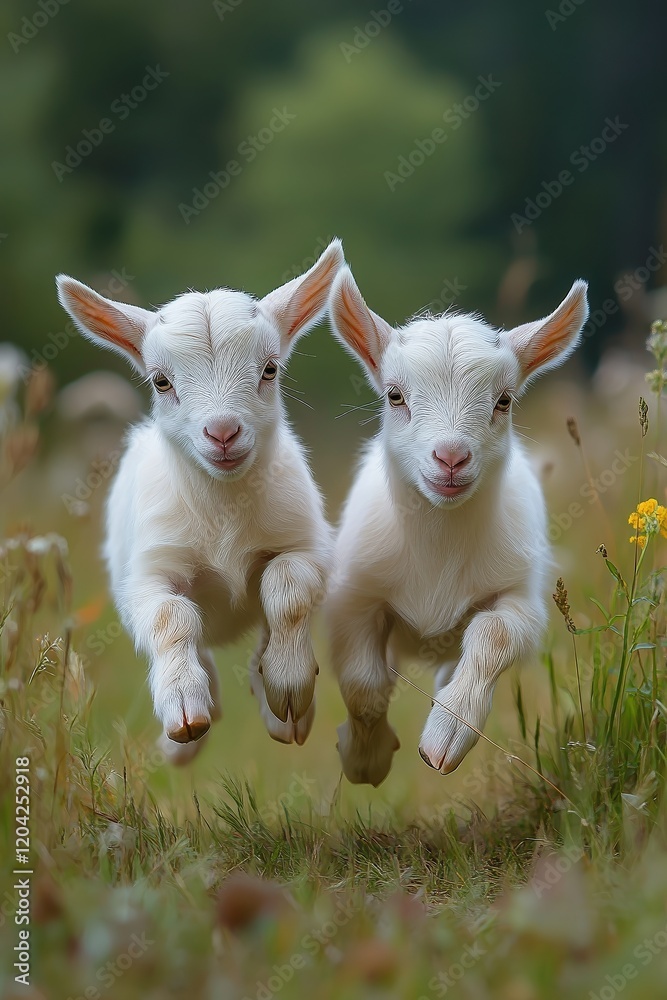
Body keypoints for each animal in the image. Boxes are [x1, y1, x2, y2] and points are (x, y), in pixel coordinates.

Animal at [56, 241, 343, 762]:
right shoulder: (146, 576)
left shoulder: (310, 544)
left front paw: (288, 685)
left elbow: (287, 587)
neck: (223, 510)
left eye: (270, 369)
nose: (223, 432)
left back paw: (282, 708)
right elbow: (171, 619)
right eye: (161, 381)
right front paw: (185, 713)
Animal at [327, 264, 588, 785]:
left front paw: (446, 735)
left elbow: (494, 636)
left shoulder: (521, 598)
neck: (437, 552)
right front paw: (366, 759)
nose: (450, 457)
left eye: (504, 401)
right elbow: (365, 683)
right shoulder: (353, 598)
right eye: (395, 395)